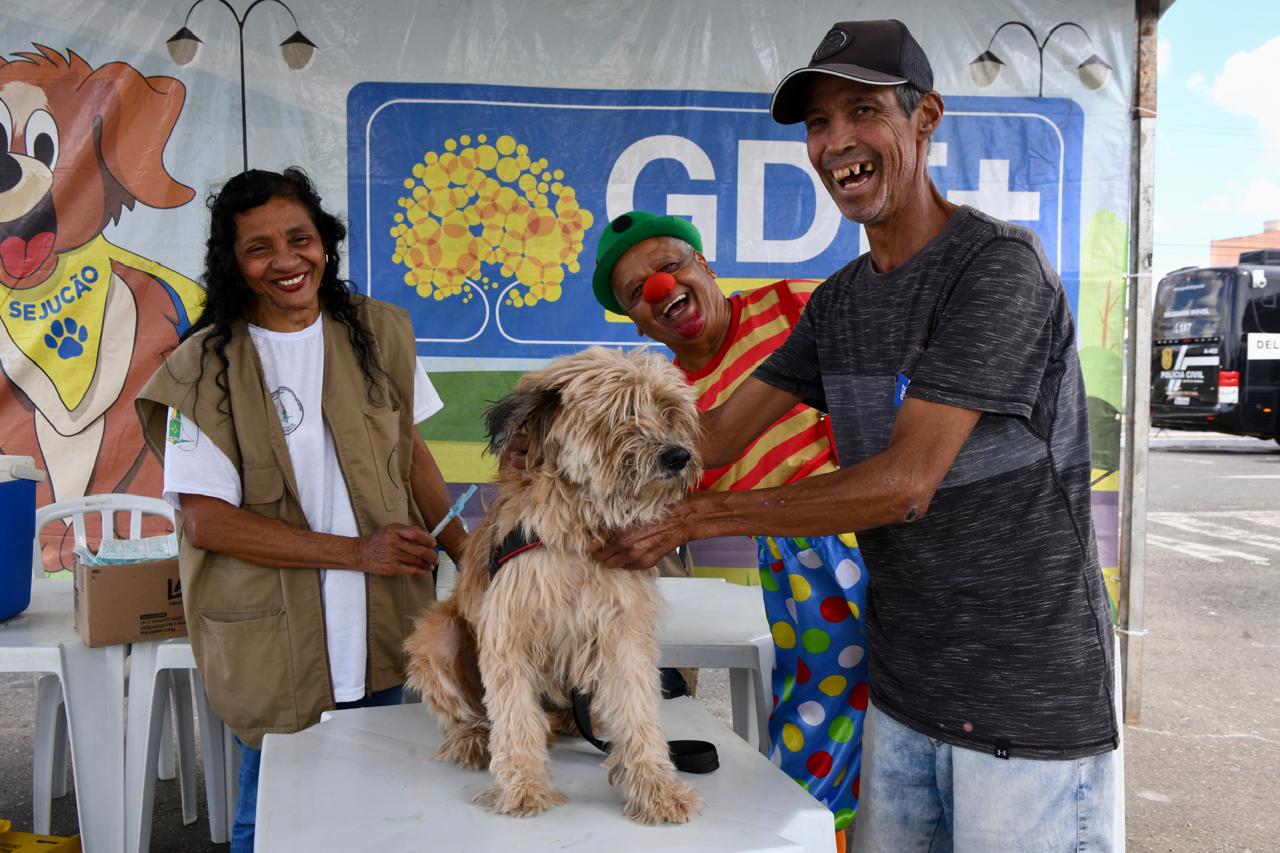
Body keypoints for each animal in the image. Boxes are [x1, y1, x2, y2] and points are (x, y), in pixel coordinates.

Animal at [404, 345, 706, 824]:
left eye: (667, 411)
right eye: (620, 412)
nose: (678, 456)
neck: (579, 530)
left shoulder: (624, 633)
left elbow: (639, 715)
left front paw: (656, 789)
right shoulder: (508, 632)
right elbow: (514, 718)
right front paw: (525, 788)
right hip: (437, 634)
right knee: (469, 712)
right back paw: (474, 737)